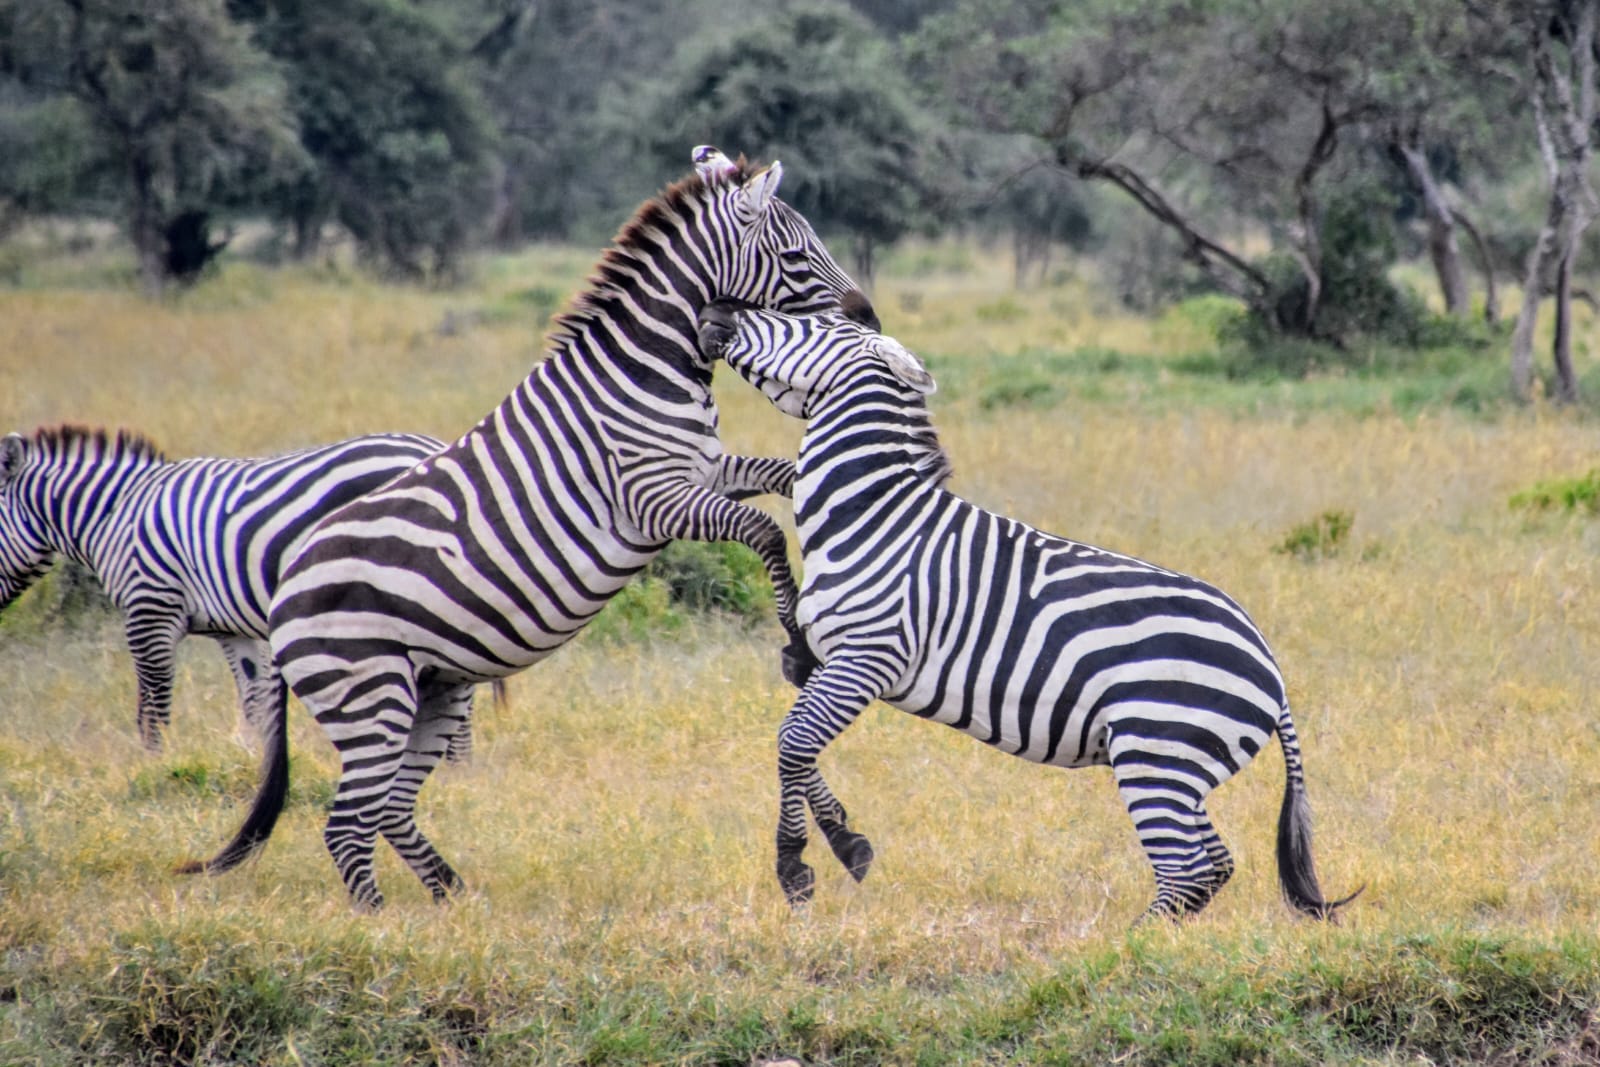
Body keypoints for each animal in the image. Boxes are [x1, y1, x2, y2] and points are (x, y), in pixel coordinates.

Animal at [0, 425, 482, 754]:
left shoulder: (150, 608)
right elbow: (254, 699)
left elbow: (153, 701)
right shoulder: (233, 631)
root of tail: (432, 447)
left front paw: (153, 759)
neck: (115, 514)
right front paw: (255, 761)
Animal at [182, 147, 879, 908]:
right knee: (347, 823)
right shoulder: (652, 499)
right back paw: (382, 919)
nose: (869, 315)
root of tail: (279, 599)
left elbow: (784, 478)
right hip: (370, 695)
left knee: (390, 809)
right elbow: (762, 530)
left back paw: (455, 899)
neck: (648, 372)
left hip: (434, 689)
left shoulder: (707, 467)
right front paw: (797, 644)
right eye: (797, 254)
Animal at [694, 302, 1360, 922]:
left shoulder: (867, 657)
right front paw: (845, 841)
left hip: (1156, 750)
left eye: (817, 327)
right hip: (1182, 767)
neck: (871, 516)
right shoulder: (825, 663)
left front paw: (797, 865)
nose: (717, 311)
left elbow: (792, 742)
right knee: (1212, 866)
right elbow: (798, 748)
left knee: (1186, 869)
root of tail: (1270, 669)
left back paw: (1124, 946)